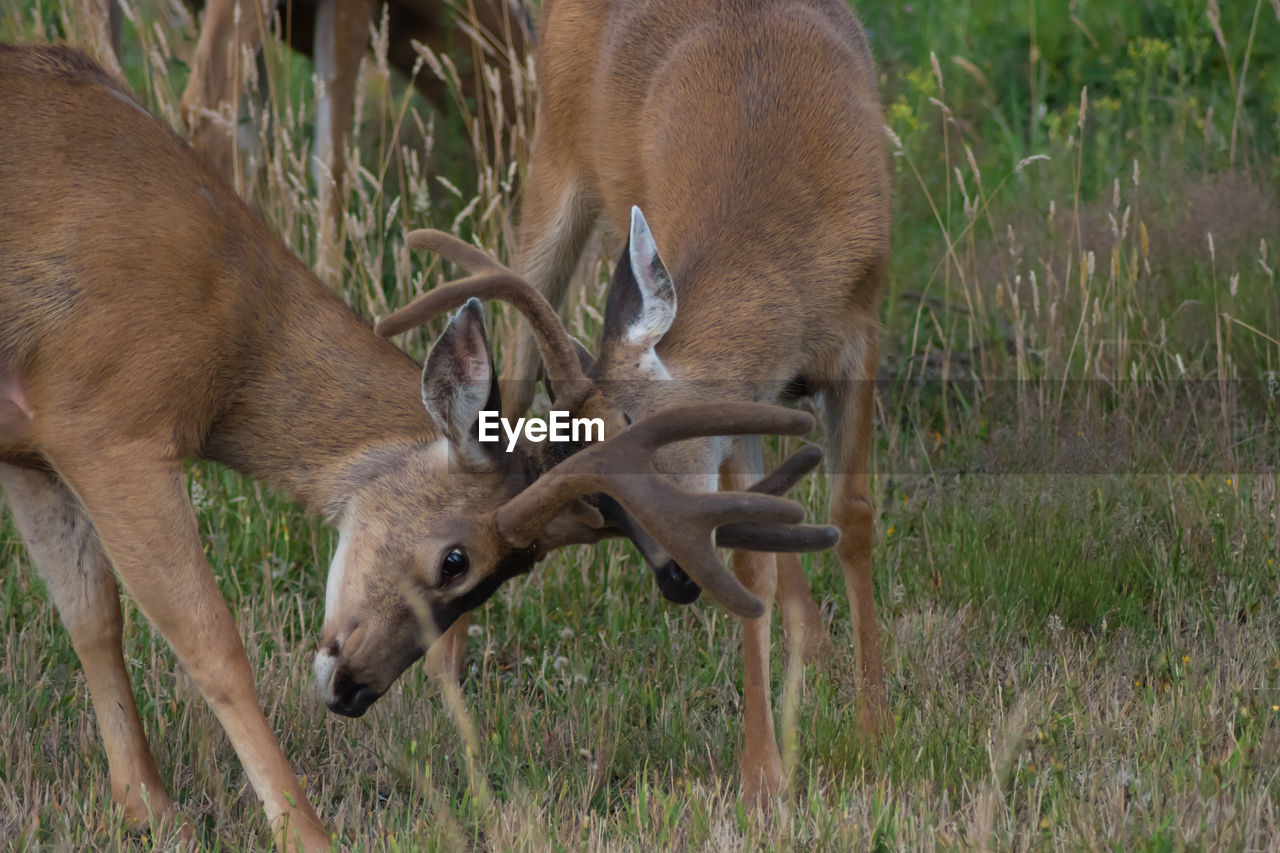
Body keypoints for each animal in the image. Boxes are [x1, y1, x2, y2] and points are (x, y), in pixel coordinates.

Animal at [0, 44, 839, 845]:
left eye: (508, 574)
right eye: (456, 559)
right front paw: (304, 831)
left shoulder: (33, 446)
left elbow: (91, 616)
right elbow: (210, 641)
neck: (233, 336)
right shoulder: (109, 421)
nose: (353, 692)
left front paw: (148, 809)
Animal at [373, 0, 890, 799]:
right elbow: (752, 561)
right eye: (598, 498)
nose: (675, 578)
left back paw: (820, 652)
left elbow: (850, 517)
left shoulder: (859, 327)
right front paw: (763, 773)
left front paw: (873, 731)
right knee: (507, 383)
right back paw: (444, 666)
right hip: (552, 161)